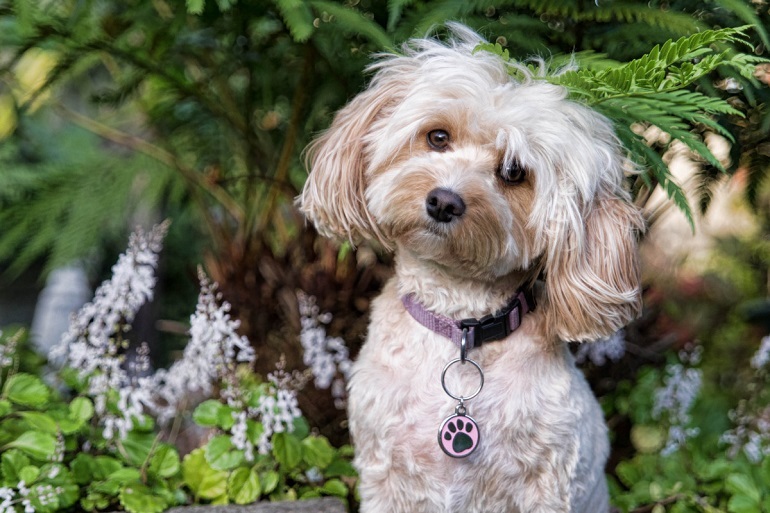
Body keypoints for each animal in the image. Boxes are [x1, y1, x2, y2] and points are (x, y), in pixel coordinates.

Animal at [300, 25, 640, 512]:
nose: (444, 201)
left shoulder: (548, 485)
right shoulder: (385, 476)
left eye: (515, 172)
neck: (459, 323)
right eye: (438, 137)